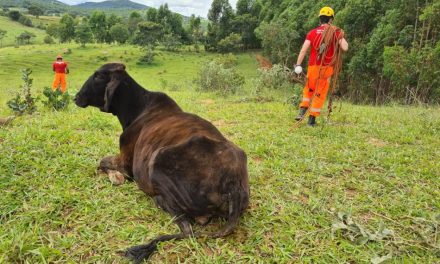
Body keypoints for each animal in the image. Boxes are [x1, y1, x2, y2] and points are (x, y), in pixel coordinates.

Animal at [74, 63, 249, 262]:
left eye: (98, 76)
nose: (76, 97)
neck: (137, 108)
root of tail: (232, 182)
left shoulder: (126, 162)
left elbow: (102, 161)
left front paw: (116, 177)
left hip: (158, 160)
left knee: (187, 228)